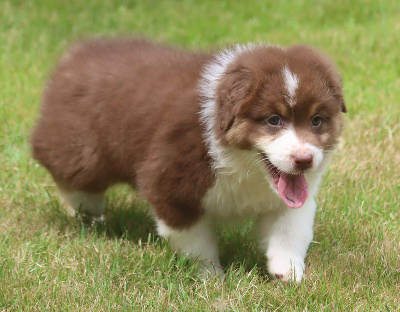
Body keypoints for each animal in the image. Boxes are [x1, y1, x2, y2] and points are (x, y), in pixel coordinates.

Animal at [31, 37, 346, 282]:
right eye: (273, 120)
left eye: (317, 120)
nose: (305, 160)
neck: (244, 166)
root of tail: (76, 54)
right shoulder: (171, 184)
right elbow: (196, 242)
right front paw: (212, 278)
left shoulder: (289, 198)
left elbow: (290, 229)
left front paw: (288, 272)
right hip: (80, 150)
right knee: (69, 174)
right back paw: (89, 213)